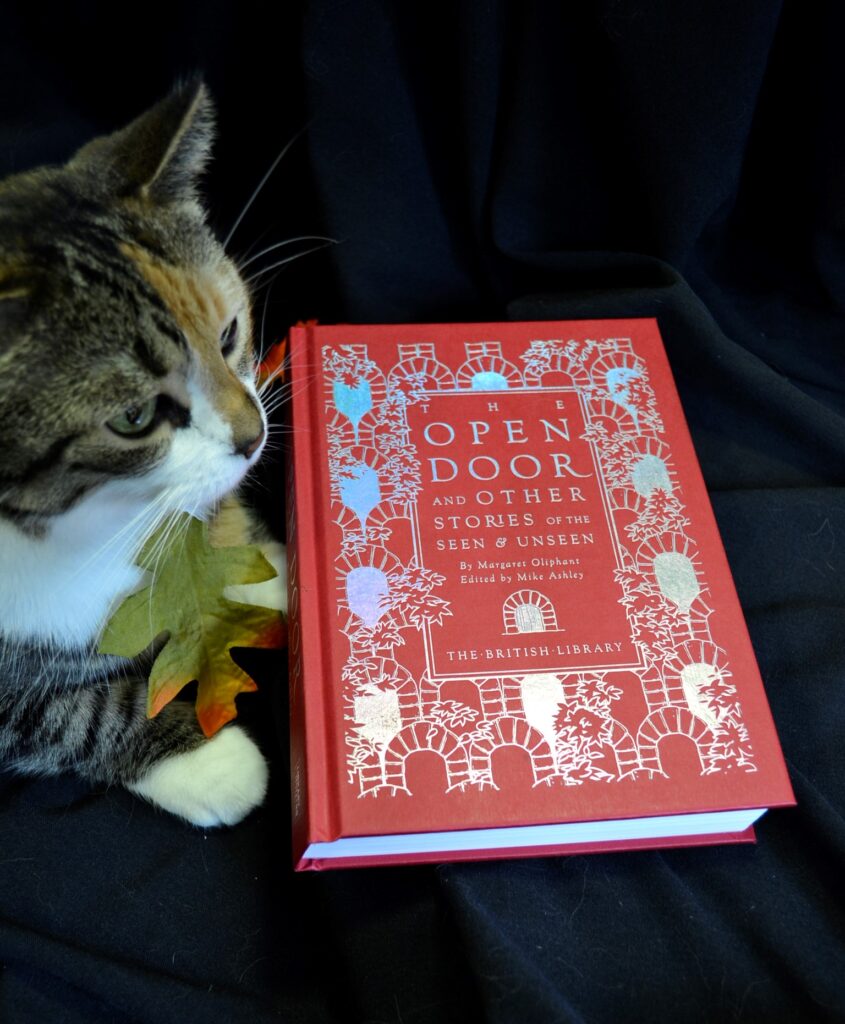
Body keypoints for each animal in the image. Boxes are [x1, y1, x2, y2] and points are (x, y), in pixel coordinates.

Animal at [0, 81, 284, 831]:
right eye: (133, 418)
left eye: (229, 333)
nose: (253, 436)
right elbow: (61, 714)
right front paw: (208, 762)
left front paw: (275, 572)